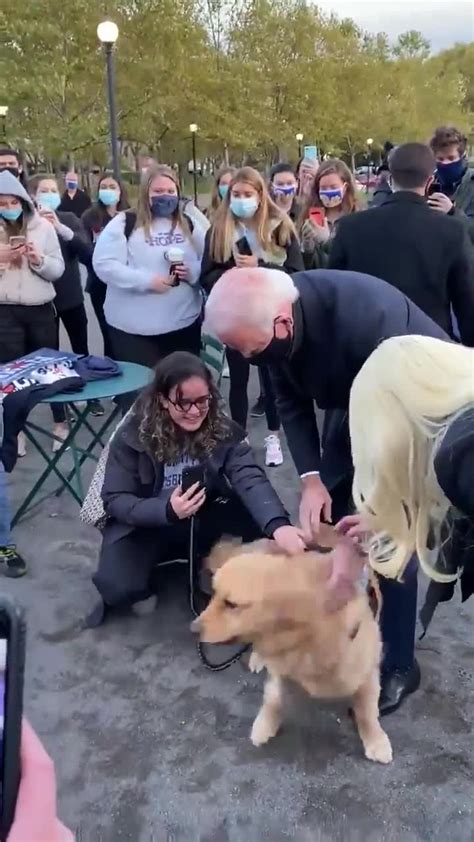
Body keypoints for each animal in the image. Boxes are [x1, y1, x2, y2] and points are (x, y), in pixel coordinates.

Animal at [193, 528, 392, 764]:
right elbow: (274, 698)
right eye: (214, 596)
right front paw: (265, 724)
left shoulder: (367, 670)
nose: (193, 629)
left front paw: (375, 740)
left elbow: (366, 712)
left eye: (231, 604)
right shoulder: (281, 666)